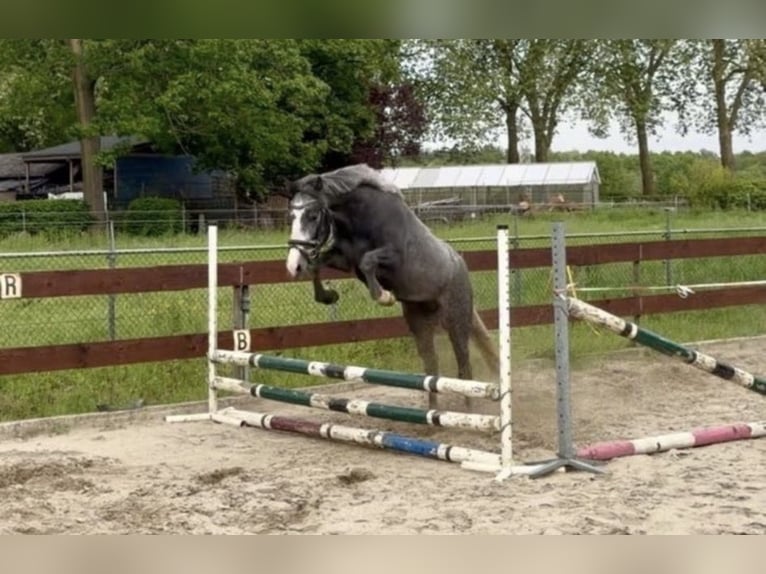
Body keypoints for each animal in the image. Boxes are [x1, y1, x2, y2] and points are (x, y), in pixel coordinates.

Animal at [282, 164, 500, 411]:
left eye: (313, 215)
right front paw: (327, 296)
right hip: (420, 325)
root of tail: (461, 268)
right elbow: (317, 265)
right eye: (291, 216)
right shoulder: (342, 258)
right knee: (431, 368)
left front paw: (384, 296)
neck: (361, 217)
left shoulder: (395, 257)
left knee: (464, 368)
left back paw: (468, 410)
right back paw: (432, 411)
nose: (293, 266)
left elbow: (367, 261)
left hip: (456, 322)